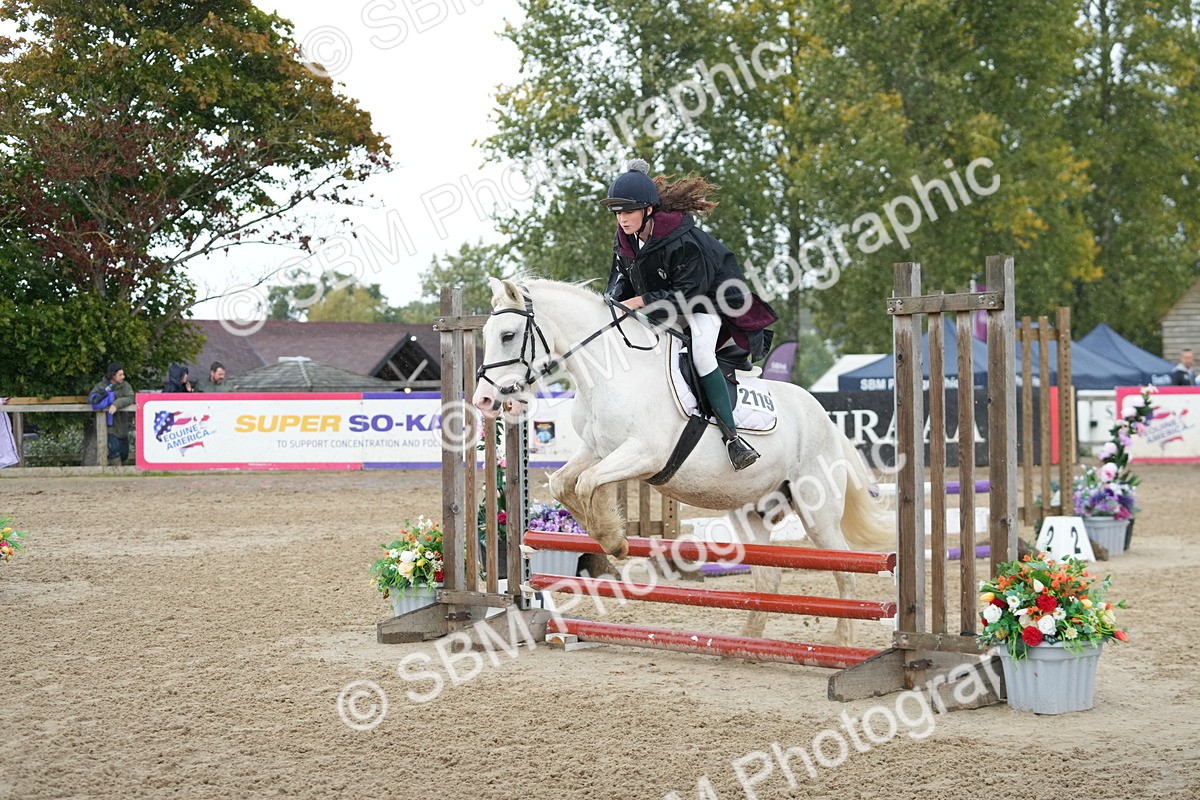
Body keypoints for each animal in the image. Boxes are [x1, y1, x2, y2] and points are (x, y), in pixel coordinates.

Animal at [471, 277, 894, 645]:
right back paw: (747, 644)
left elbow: (590, 483)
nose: (484, 401)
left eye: (507, 336)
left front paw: (614, 540)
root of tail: (822, 415)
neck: (610, 372)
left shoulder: (643, 453)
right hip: (750, 512)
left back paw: (843, 641)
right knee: (767, 579)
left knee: (845, 570)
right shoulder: (597, 450)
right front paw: (605, 532)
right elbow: (565, 483)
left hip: (816, 508)